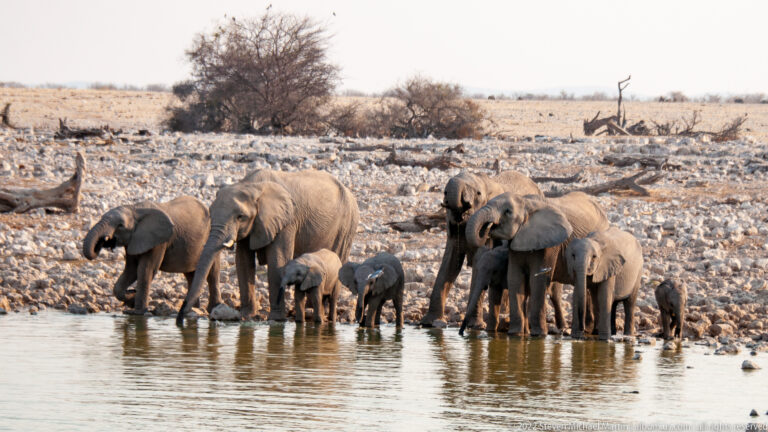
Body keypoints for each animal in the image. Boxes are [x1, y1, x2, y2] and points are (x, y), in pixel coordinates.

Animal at [83, 196, 221, 315]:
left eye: (120, 225)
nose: (104, 240)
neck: (134, 209)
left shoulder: (159, 241)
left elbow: (145, 270)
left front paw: (137, 311)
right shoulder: (134, 239)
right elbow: (131, 270)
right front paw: (131, 300)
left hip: (212, 237)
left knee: (212, 273)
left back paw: (211, 309)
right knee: (190, 274)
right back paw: (192, 310)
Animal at [177, 169, 359, 324]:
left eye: (240, 217)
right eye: (211, 213)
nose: (180, 318)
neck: (252, 187)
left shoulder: (286, 221)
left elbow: (277, 259)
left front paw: (276, 319)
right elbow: (243, 261)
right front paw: (246, 316)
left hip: (347, 226)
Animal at [421, 170, 543, 327]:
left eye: (478, 194)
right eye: (444, 192)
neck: (486, 182)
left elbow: (479, 262)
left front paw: (475, 326)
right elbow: (449, 264)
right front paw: (428, 322)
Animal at [466, 191, 609, 336]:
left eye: (507, 211)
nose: (487, 228)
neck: (527, 204)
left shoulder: (549, 244)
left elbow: (537, 280)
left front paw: (538, 335)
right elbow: (515, 278)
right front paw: (516, 334)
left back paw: (584, 330)